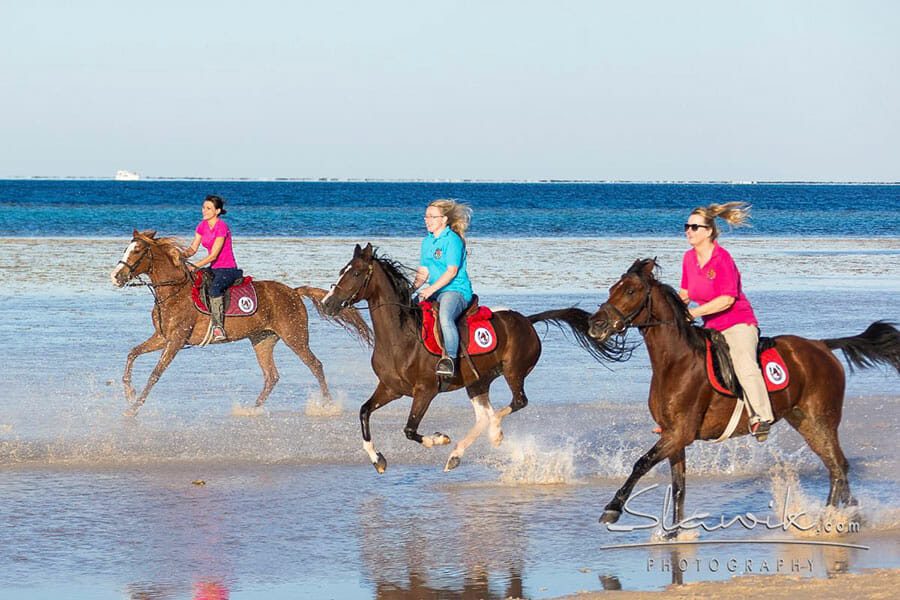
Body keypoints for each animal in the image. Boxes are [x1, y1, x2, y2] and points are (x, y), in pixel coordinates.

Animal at [110, 230, 372, 415]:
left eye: (137, 251)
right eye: (126, 248)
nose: (116, 276)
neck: (174, 291)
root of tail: (294, 292)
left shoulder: (175, 340)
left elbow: (155, 373)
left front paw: (133, 408)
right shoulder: (162, 337)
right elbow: (132, 353)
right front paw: (129, 392)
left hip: (295, 337)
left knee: (315, 365)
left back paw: (328, 405)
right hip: (262, 340)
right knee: (271, 376)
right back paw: (251, 409)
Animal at [320, 243, 623, 473]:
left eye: (356, 272)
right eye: (342, 270)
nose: (327, 304)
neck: (400, 337)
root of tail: (527, 320)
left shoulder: (425, 391)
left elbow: (409, 429)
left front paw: (439, 439)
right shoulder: (391, 388)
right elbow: (363, 413)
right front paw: (378, 459)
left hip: (513, 372)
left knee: (515, 403)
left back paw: (493, 434)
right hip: (478, 382)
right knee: (484, 416)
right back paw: (458, 454)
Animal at [587, 258, 900, 528]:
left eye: (630, 291)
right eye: (612, 289)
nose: (595, 325)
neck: (676, 361)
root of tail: (822, 345)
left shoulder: (679, 433)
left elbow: (641, 463)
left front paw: (612, 509)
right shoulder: (672, 435)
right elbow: (678, 487)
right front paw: (673, 533)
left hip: (822, 419)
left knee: (838, 466)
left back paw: (836, 519)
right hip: (805, 422)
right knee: (836, 468)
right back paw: (843, 515)